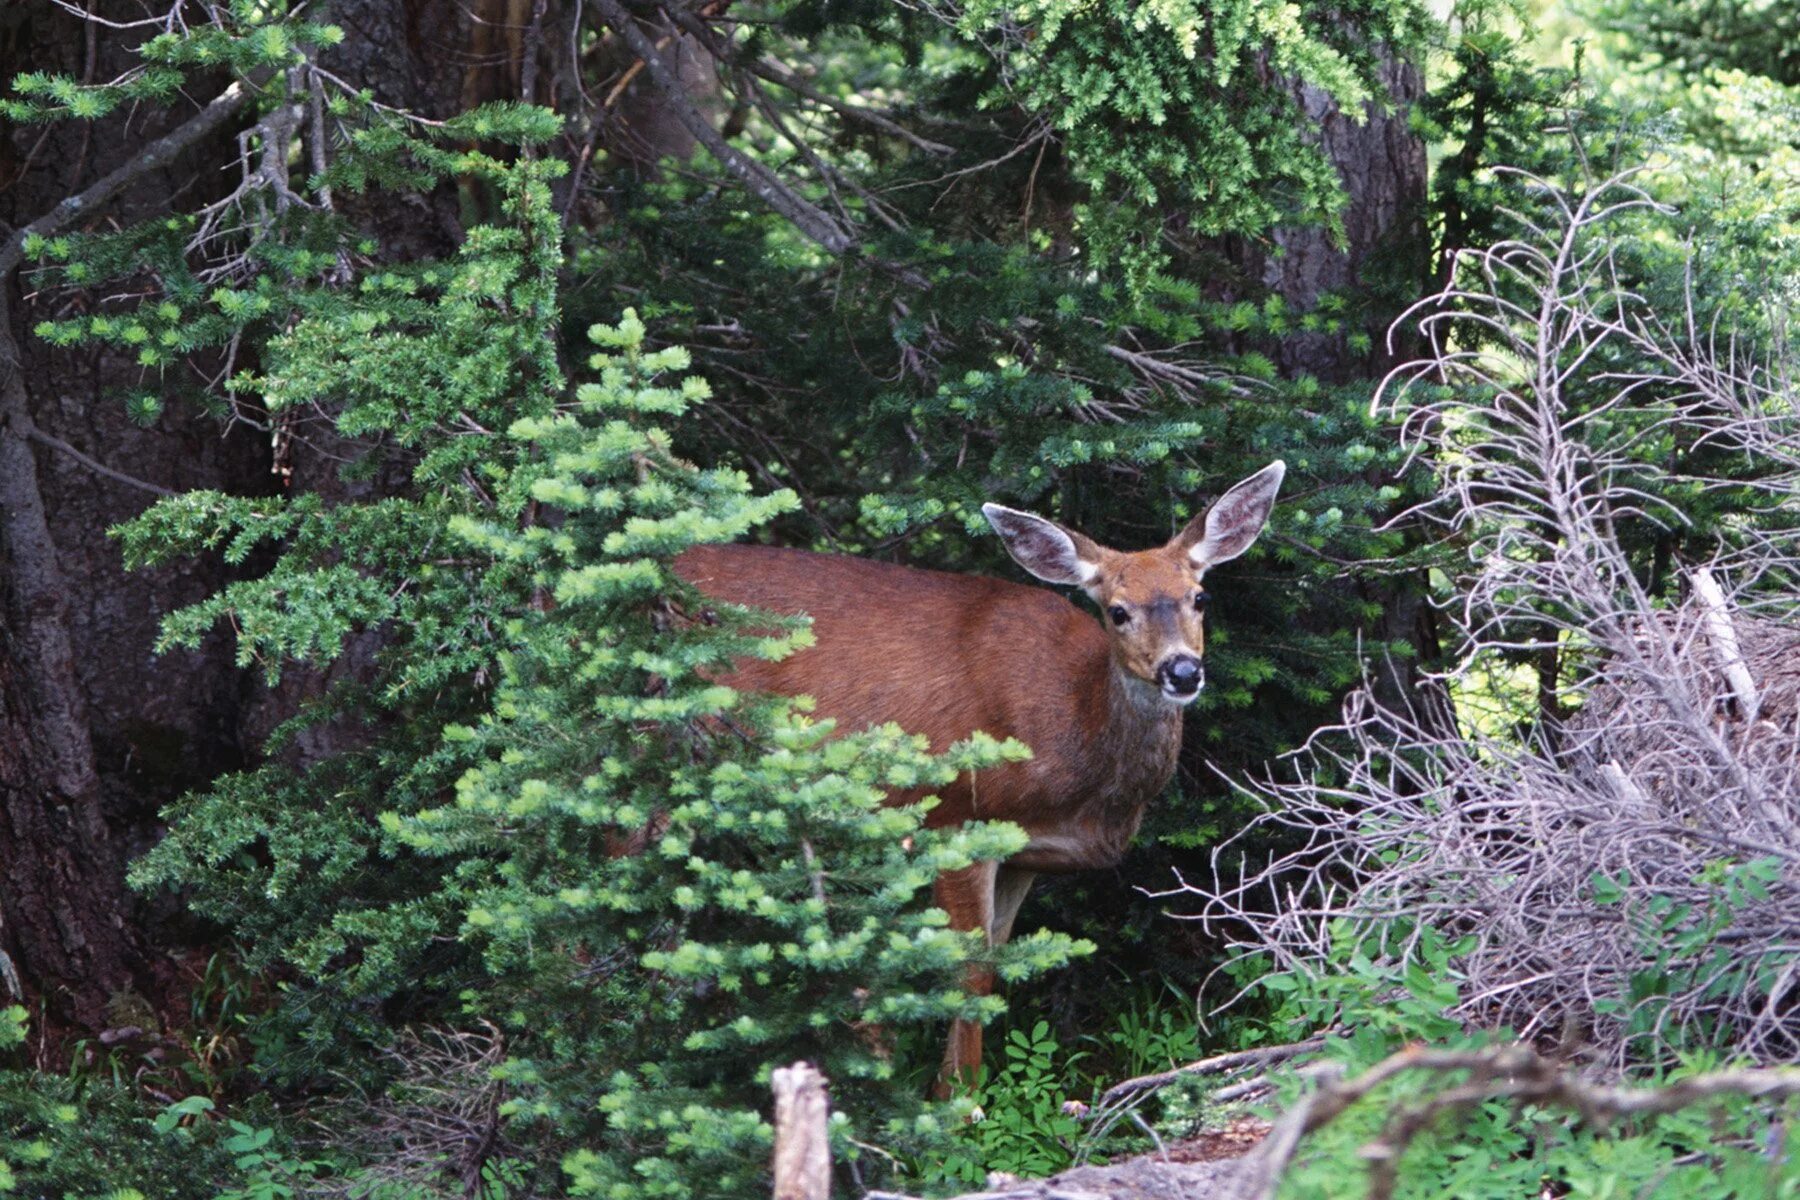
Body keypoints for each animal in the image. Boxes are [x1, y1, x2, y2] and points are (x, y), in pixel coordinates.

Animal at [673, 464, 1281, 1101]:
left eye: (1200, 597)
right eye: (1117, 611)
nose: (1182, 670)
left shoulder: (1025, 852)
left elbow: (994, 963)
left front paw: (958, 1087)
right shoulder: (957, 820)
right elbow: (963, 971)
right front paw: (958, 1102)